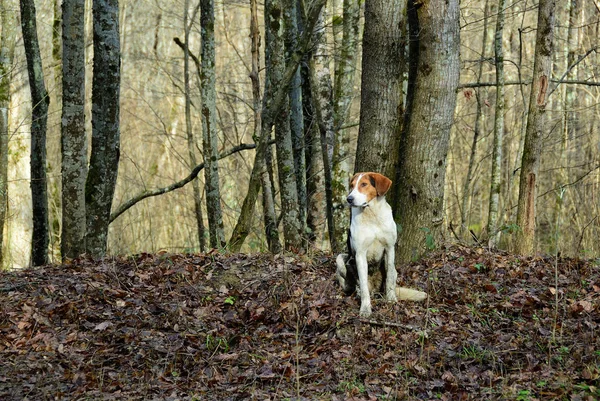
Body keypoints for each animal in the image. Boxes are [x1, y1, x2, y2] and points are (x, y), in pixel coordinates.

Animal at [338, 171, 426, 316]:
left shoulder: (389, 248)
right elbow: (363, 286)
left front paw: (391, 299)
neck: (371, 213)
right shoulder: (360, 254)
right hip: (340, 259)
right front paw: (365, 308)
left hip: (394, 270)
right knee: (355, 286)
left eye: (364, 184)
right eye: (351, 185)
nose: (349, 199)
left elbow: (389, 276)